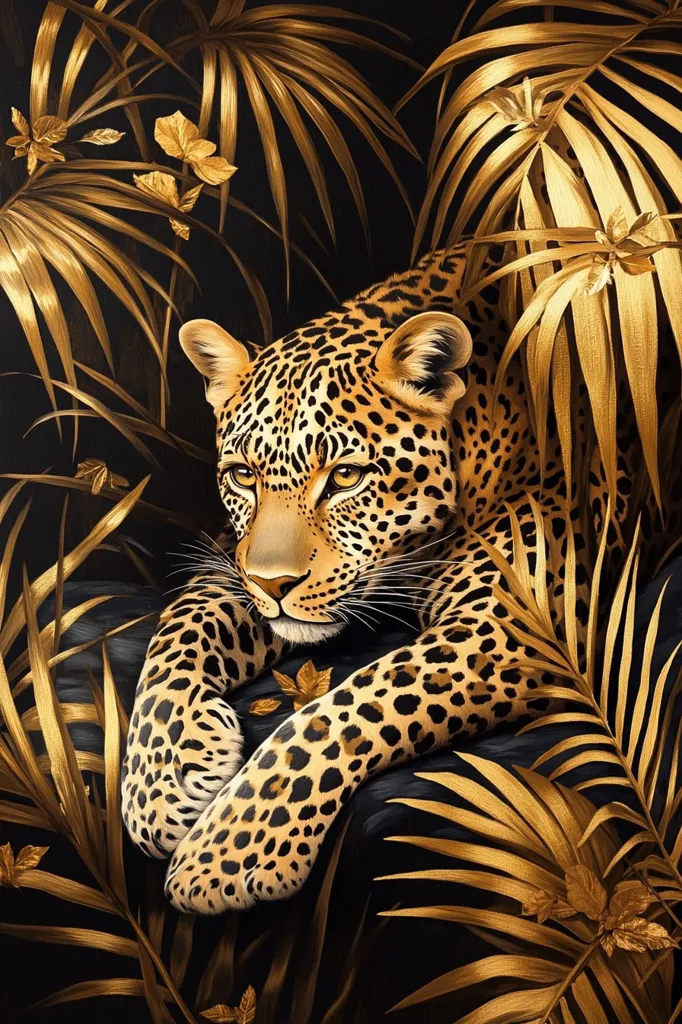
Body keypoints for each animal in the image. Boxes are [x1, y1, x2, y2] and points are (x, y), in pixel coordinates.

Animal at [121, 246, 638, 915]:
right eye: (242, 475)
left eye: (345, 476)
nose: (274, 586)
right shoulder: (237, 566)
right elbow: (179, 629)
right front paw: (161, 779)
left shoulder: (507, 626)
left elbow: (347, 709)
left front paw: (230, 852)